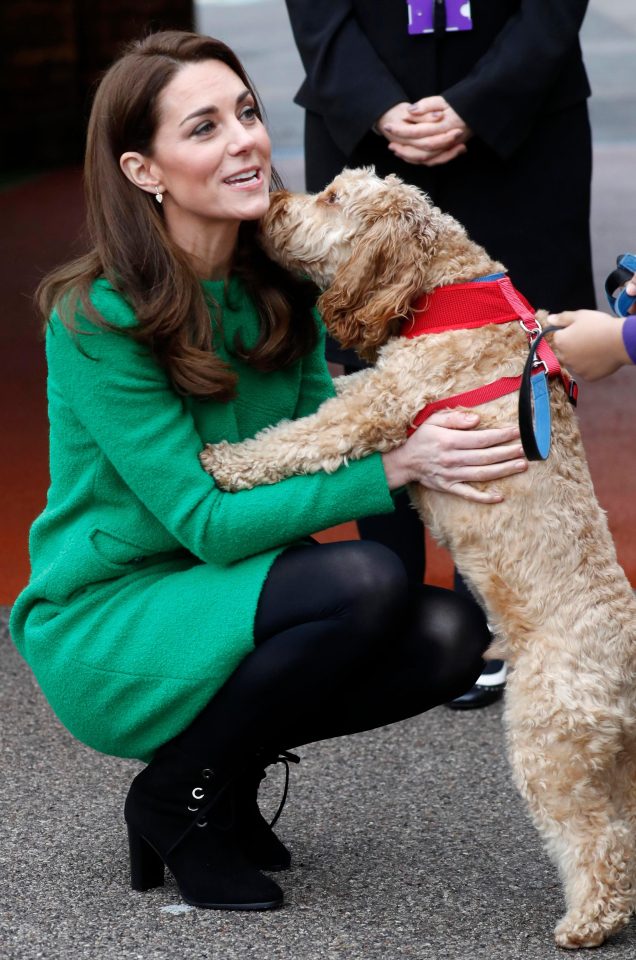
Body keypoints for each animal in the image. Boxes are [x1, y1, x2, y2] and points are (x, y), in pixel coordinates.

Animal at [202, 169, 636, 948]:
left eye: (333, 198)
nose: (272, 203)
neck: (447, 290)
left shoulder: (376, 406)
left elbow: (297, 436)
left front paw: (227, 460)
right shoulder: (373, 385)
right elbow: (330, 391)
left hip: (552, 746)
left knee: (598, 840)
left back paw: (588, 922)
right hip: (617, 758)